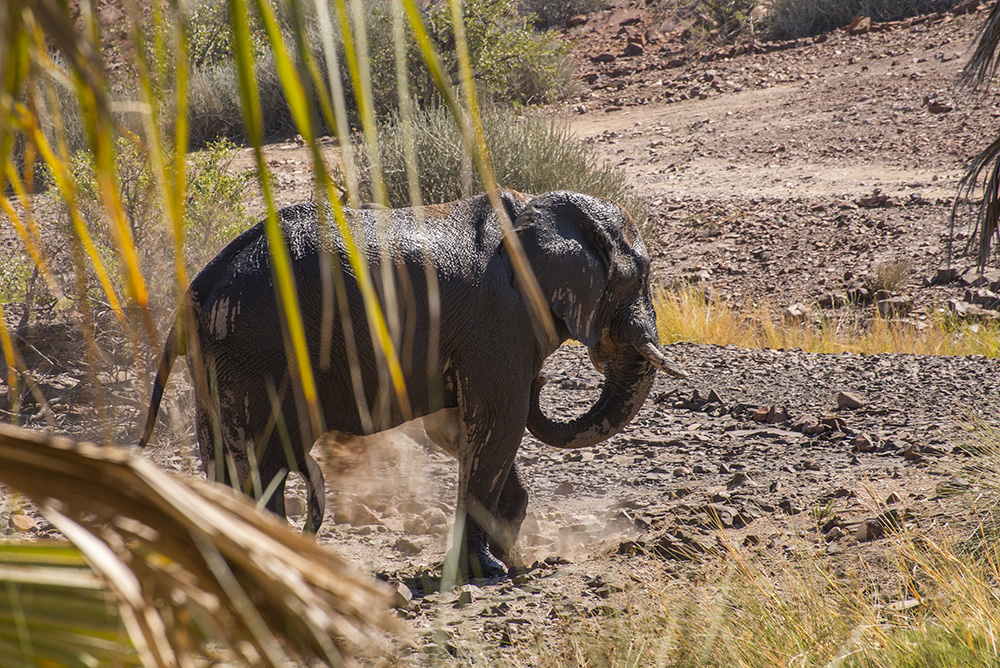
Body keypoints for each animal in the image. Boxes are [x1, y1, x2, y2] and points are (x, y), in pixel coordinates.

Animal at [139, 190, 685, 578]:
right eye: (640, 278)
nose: (543, 383)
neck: (536, 209)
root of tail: (196, 290)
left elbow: (462, 431)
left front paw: (514, 562)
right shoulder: (498, 324)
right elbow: (498, 421)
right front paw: (489, 571)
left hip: (221, 358)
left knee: (224, 459)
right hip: (255, 350)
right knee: (260, 464)